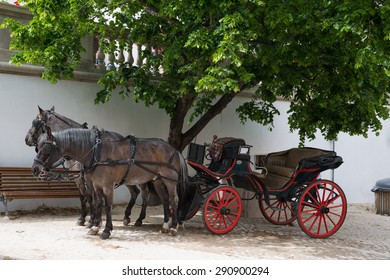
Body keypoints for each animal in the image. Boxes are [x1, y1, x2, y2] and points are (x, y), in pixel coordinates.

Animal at [31, 127, 185, 238]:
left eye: (45, 148)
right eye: (37, 146)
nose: (35, 169)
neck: (96, 151)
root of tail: (174, 149)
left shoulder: (107, 185)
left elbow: (108, 206)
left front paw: (106, 230)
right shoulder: (96, 185)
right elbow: (98, 203)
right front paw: (95, 226)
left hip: (169, 180)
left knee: (173, 199)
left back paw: (173, 227)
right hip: (157, 180)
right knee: (164, 199)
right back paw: (165, 225)